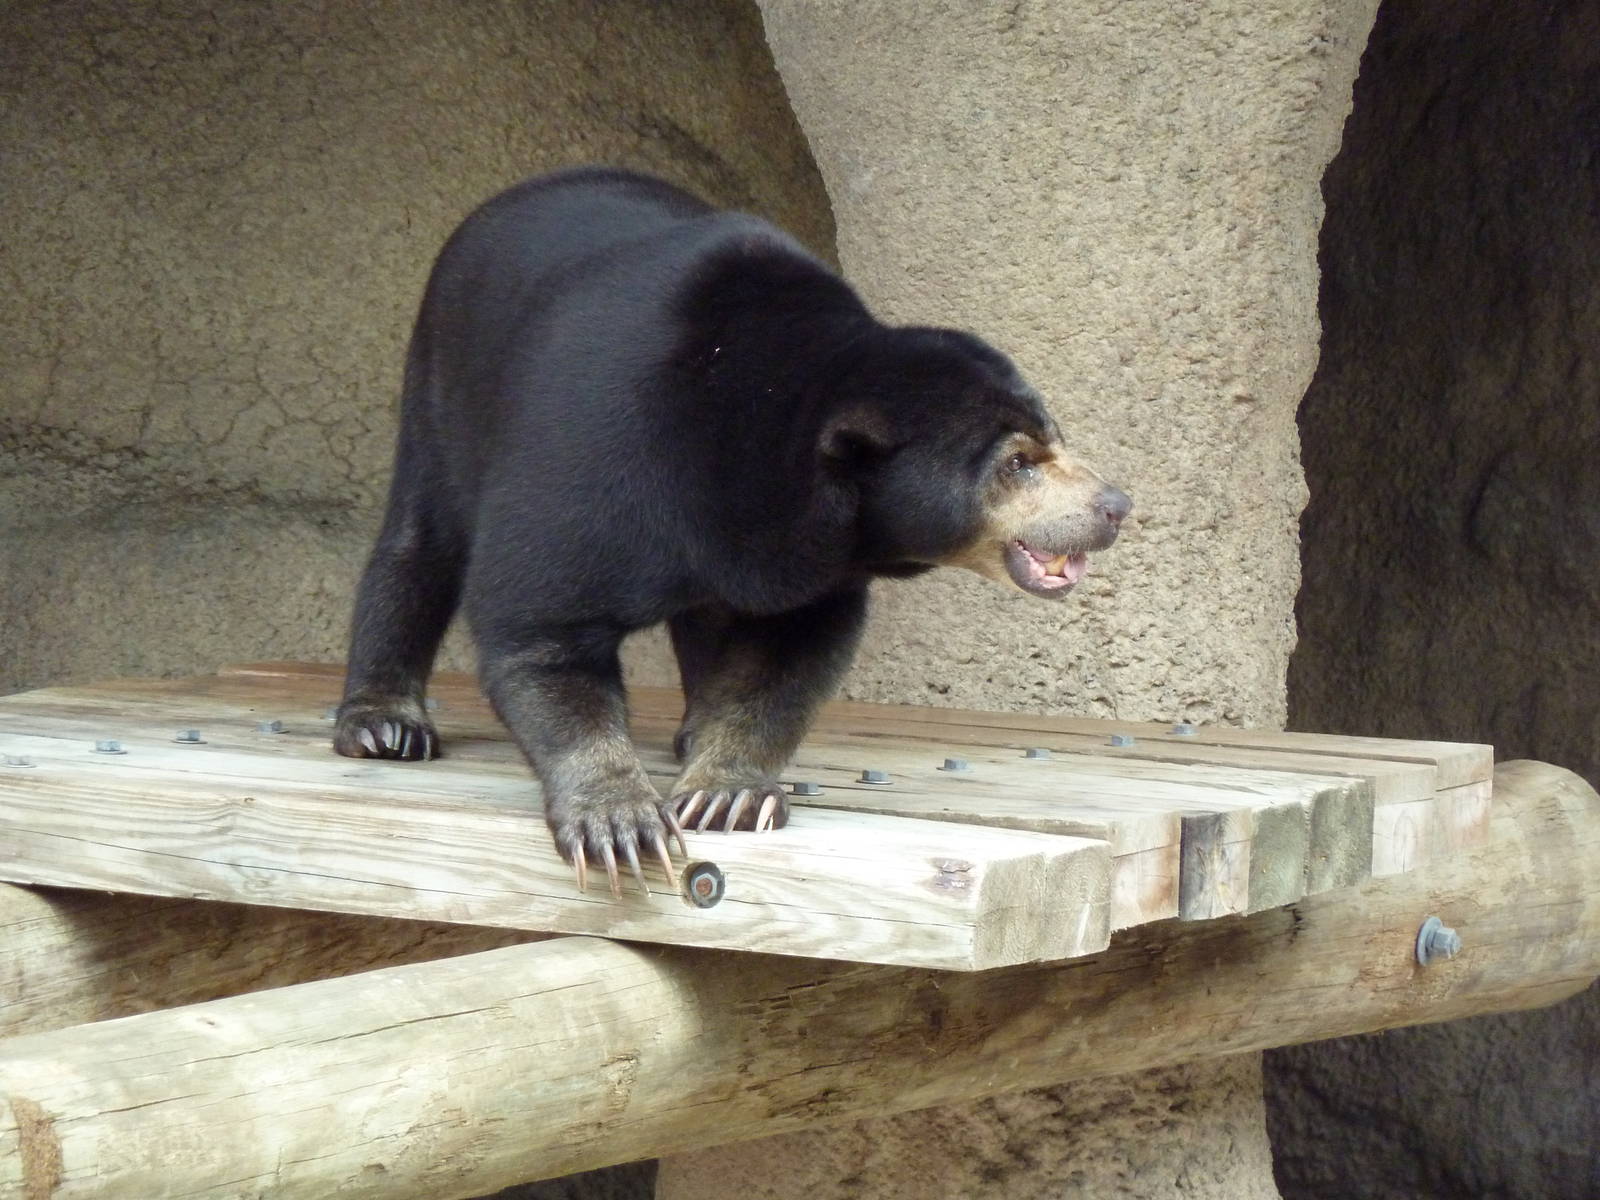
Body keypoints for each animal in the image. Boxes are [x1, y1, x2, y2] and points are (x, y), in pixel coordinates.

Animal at [334, 167, 1130, 896]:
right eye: (1018, 463)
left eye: (1054, 438)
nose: (1115, 503)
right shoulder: (595, 448)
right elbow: (538, 621)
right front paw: (618, 822)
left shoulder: (804, 554)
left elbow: (785, 652)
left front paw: (728, 791)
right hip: (442, 382)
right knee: (420, 540)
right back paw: (384, 724)